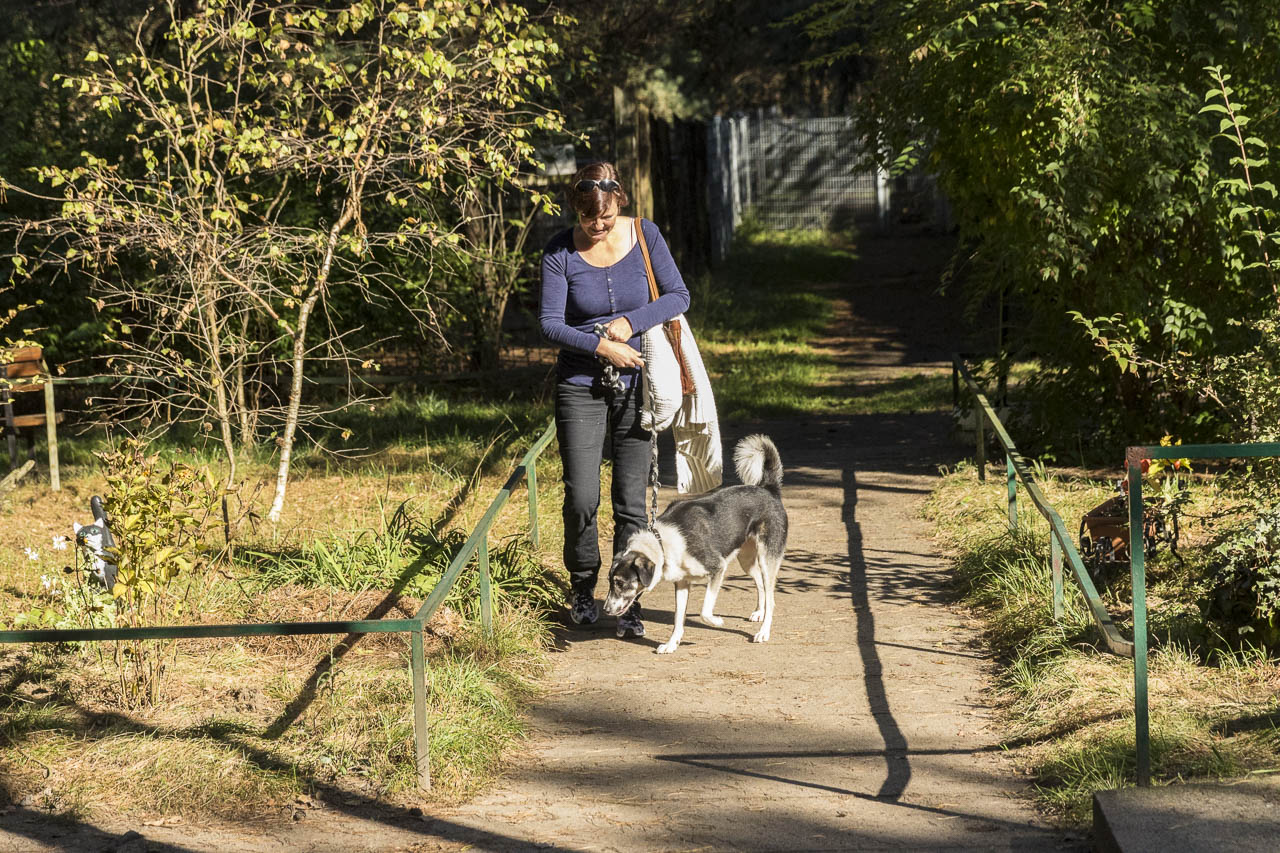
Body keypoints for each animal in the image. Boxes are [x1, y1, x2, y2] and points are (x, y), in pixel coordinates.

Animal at [603, 435, 787, 654]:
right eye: (610, 582)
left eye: (620, 583)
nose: (605, 609)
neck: (662, 542)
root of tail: (768, 489)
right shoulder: (682, 583)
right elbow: (678, 619)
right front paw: (671, 644)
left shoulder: (718, 568)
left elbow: (704, 611)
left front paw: (717, 621)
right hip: (746, 559)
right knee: (760, 583)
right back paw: (759, 612)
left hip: (767, 559)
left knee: (772, 597)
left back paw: (763, 632)